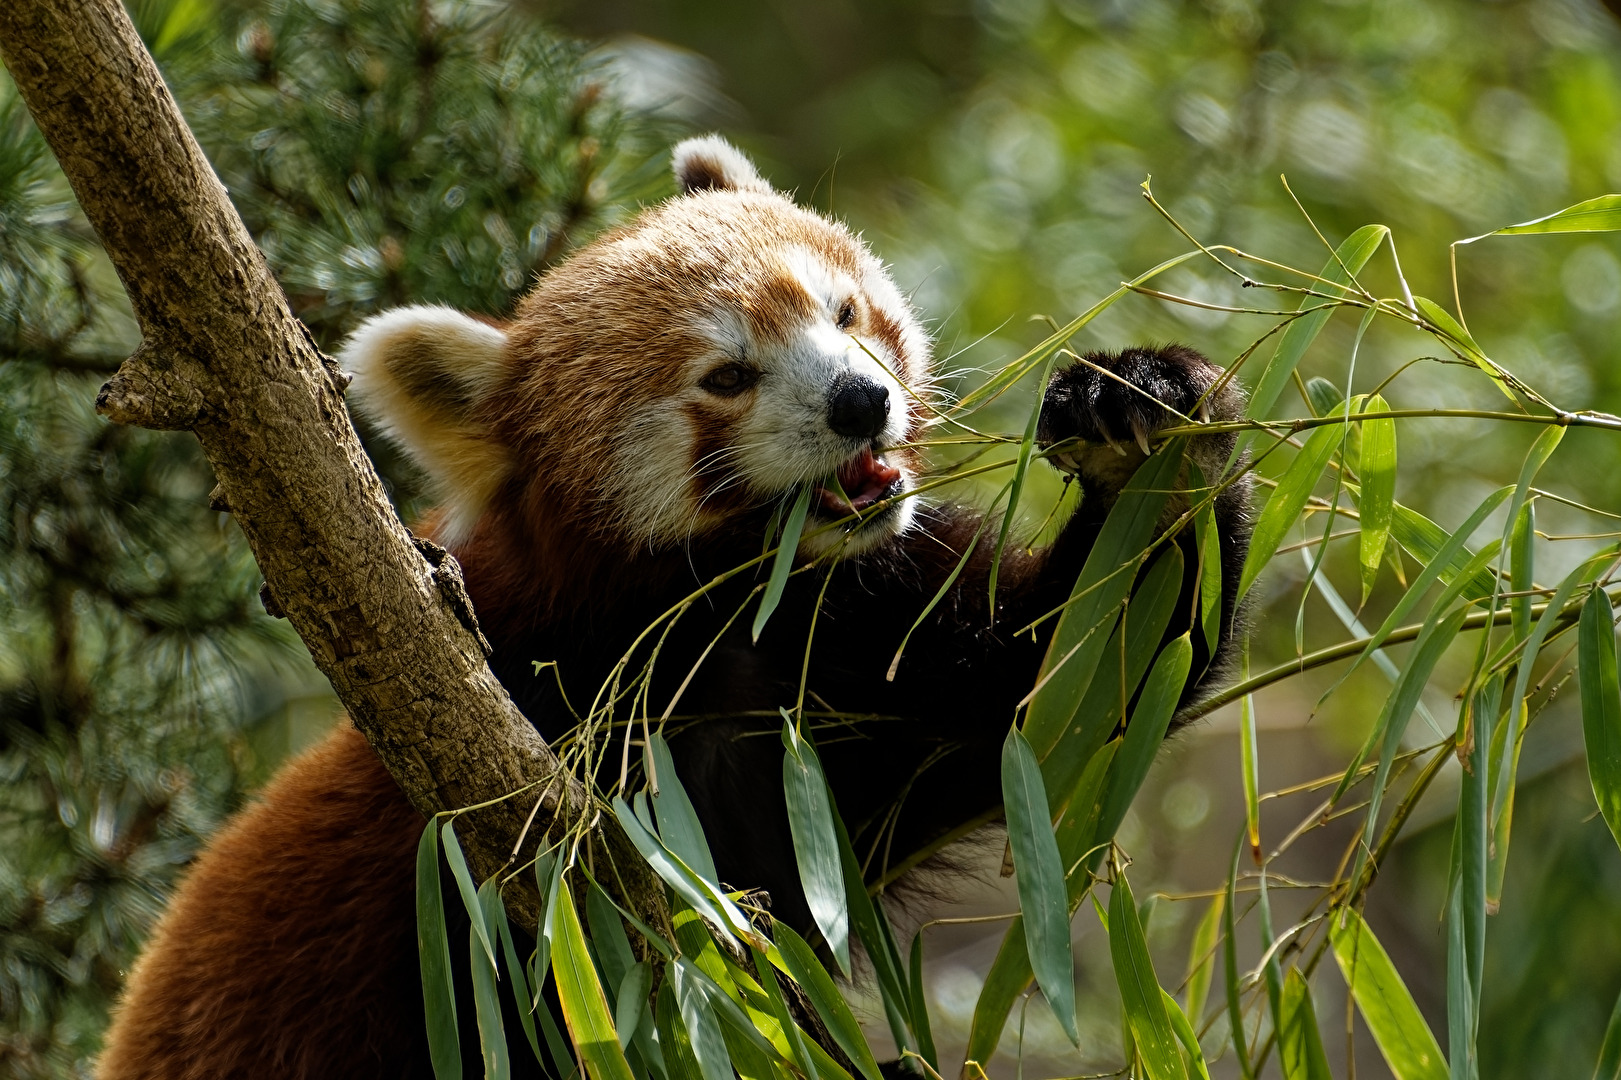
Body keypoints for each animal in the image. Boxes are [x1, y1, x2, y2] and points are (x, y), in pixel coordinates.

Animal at [96, 136, 1253, 1079]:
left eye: (842, 311)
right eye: (727, 377)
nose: (860, 400)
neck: (727, 621)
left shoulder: (862, 652)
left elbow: (1067, 685)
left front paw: (1141, 412)